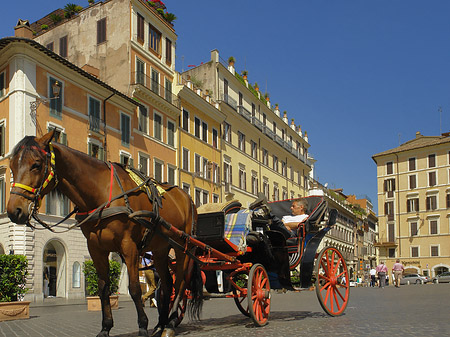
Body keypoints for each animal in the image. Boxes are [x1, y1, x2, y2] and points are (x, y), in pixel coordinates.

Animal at [7, 129, 203, 336]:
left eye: (36, 164)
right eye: (12, 166)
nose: (14, 210)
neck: (102, 194)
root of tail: (188, 199)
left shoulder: (129, 246)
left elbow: (134, 288)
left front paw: (142, 326)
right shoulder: (96, 248)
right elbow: (103, 288)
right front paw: (106, 327)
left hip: (183, 247)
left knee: (180, 283)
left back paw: (171, 323)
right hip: (160, 249)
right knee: (166, 284)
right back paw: (161, 324)